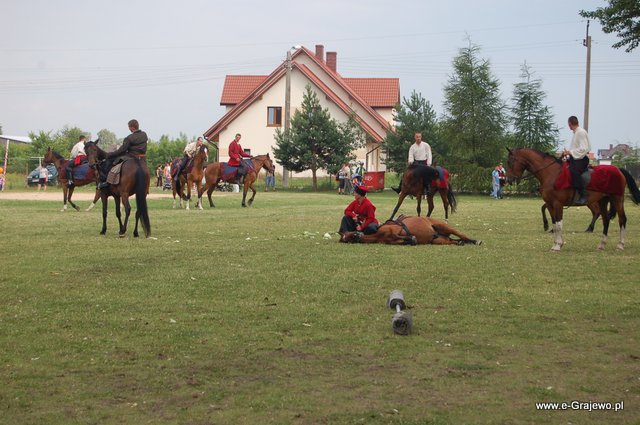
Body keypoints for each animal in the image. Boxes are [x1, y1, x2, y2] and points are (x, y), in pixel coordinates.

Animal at [506, 147, 640, 251]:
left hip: (617, 199)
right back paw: (601, 244)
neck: (551, 173)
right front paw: (555, 242)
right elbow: (555, 224)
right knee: (605, 219)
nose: (509, 180)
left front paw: (558, 245)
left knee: (622, 219)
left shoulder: (558, 204)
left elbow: (559, 223)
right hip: (603, 200)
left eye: (510, 161)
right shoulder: (549, 204)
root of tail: (618, 169)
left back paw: (620, 245)